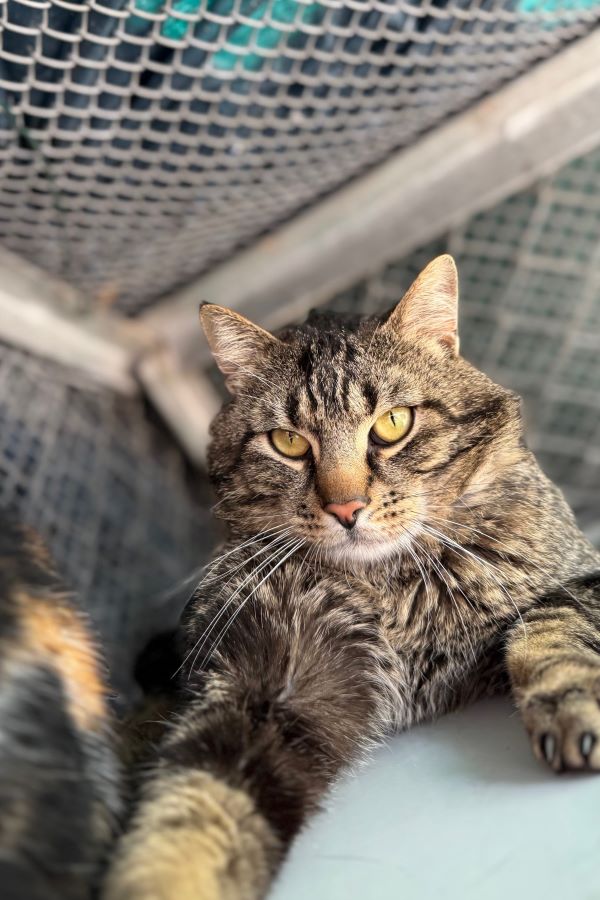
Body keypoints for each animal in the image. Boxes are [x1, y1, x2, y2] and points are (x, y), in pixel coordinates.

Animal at [104, 255, 600, 900]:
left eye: (392, 424)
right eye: (288, 442)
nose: (345, 508)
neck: (388, 594)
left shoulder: (583, 576)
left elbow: (552, 622)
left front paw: (572, 706)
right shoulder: (265, 687)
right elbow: (191, 811)